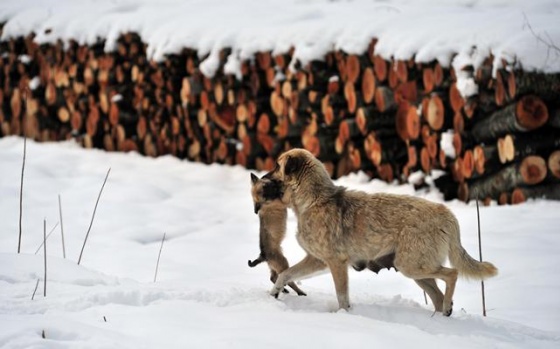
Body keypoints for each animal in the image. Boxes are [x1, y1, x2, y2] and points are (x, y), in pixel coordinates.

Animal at [264, 148, 496, 314]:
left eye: (276, 165)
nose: (262, 176)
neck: (313, 200)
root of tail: (446, 213)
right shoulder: (317, 260)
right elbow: (285, 274)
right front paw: (273, 293)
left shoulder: (336, 263)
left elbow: (342, 297)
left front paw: (343, 315)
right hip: (415, 270)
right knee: (438, 297)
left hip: (412, 266)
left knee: (452, 274)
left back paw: (447, 307)